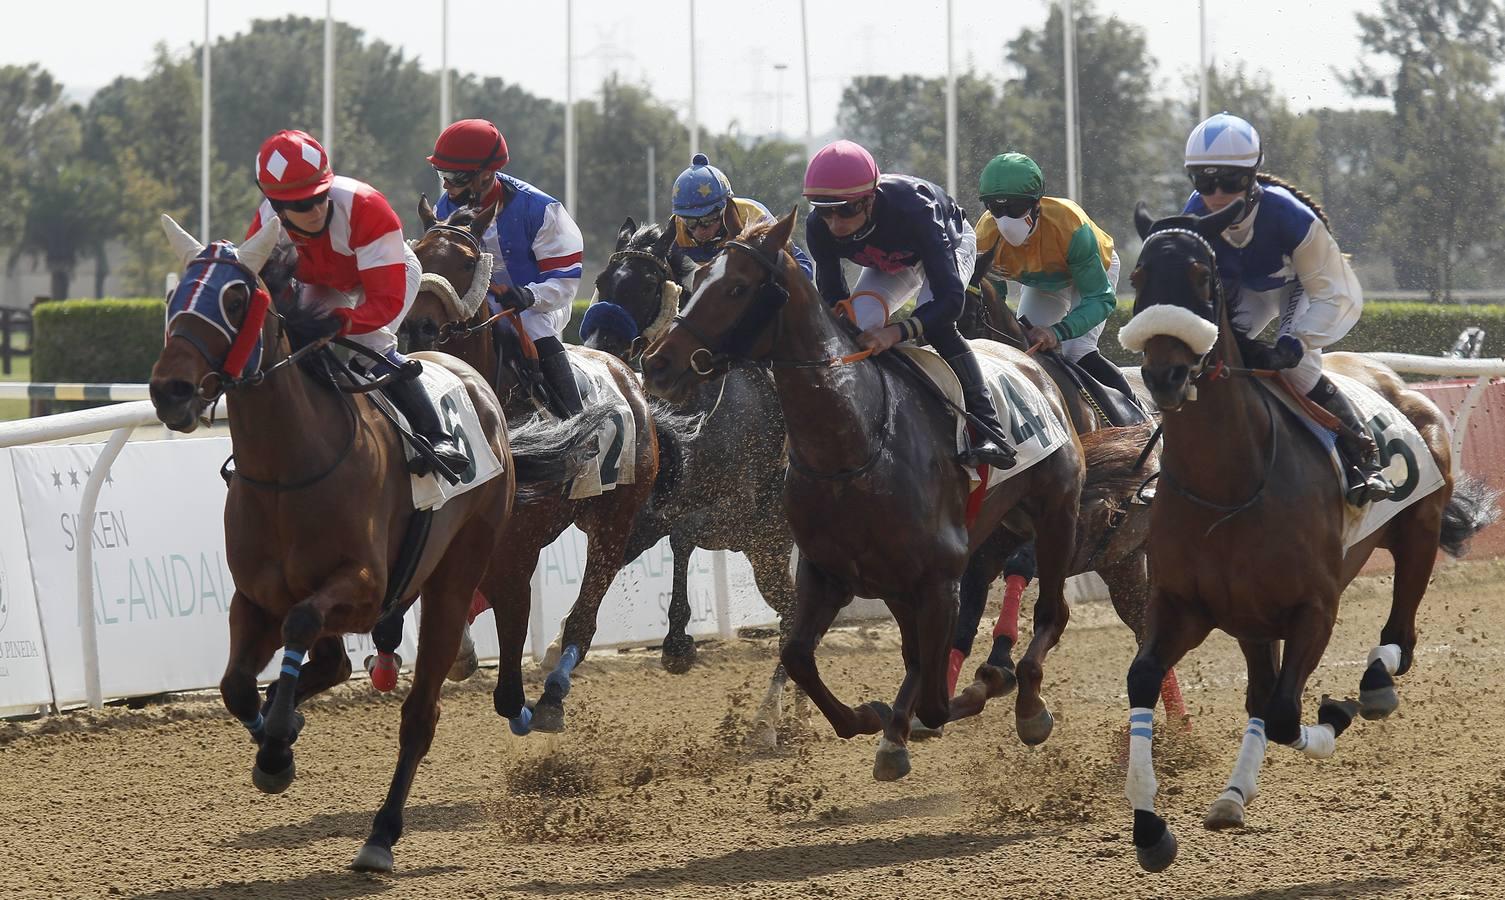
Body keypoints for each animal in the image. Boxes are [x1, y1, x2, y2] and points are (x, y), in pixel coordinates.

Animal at [148, 213, 586, 872]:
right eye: (175, 299)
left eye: (235, 298)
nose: (170, 390)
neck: (289, 467)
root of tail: (476, 383)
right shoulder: (253, 598)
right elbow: (235, 685)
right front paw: (277, 740)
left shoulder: (364, 587)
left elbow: (302, 624)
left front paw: (277, 746)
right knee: (330, 665)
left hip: (458, 570)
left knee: (423, 708)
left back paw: (382, 833)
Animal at [400, 195, 659, 734]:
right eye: (418, 254)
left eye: (465, 263)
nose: (418, 327)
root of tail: (624, 370)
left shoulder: (517, 552)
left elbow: (508, 670)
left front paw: (522, 702)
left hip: (615, 520)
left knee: (585, 614)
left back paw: (553, 691)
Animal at [577, 215, 800, 752]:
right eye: (602, 280)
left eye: (646, 285)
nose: (597, 347)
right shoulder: (649, 510)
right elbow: (645, 541)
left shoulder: (736, 518)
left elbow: (681, 535)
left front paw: (678, 641)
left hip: (769, 548)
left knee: (792, 619)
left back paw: (769, 721)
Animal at [641, 207, 1089, 776]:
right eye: (695, 278)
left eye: (738, 288)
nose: (656, 363)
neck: (852, 448)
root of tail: (1032, 365)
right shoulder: (828, 571)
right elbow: (798, 654)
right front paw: (871, 718)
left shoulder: (938, 579)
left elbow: (937, 700)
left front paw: (978, 688)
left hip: (1057, 515)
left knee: (1052, 612)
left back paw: (1026, 702)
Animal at [1113, 201, 1498, 872]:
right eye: (1138, 276)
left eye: (1201, 277)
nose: (1164, 374)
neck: (1229, 481)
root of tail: (1397, 382)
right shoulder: (1184, 605)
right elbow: (1149, 679)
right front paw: (1150, 826)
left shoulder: (1314, 608)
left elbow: (1289, 714)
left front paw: (1337, 711)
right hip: (1250, 617)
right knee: (1261, 692)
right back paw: (1234, 794)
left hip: (1418, 534)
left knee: (1400, 638)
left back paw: (1374, 685)